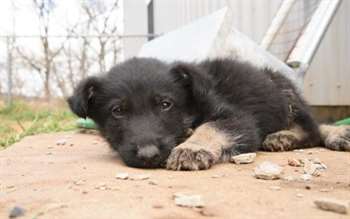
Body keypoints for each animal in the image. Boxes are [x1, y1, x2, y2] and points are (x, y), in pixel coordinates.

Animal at [68, 57, 350, 170]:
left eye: (165, 104)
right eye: (117, 111)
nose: (148, 156)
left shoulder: (238, 119)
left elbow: (210, 126)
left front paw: (191, 148)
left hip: (284, 93)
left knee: (312, 128)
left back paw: (292, 136)